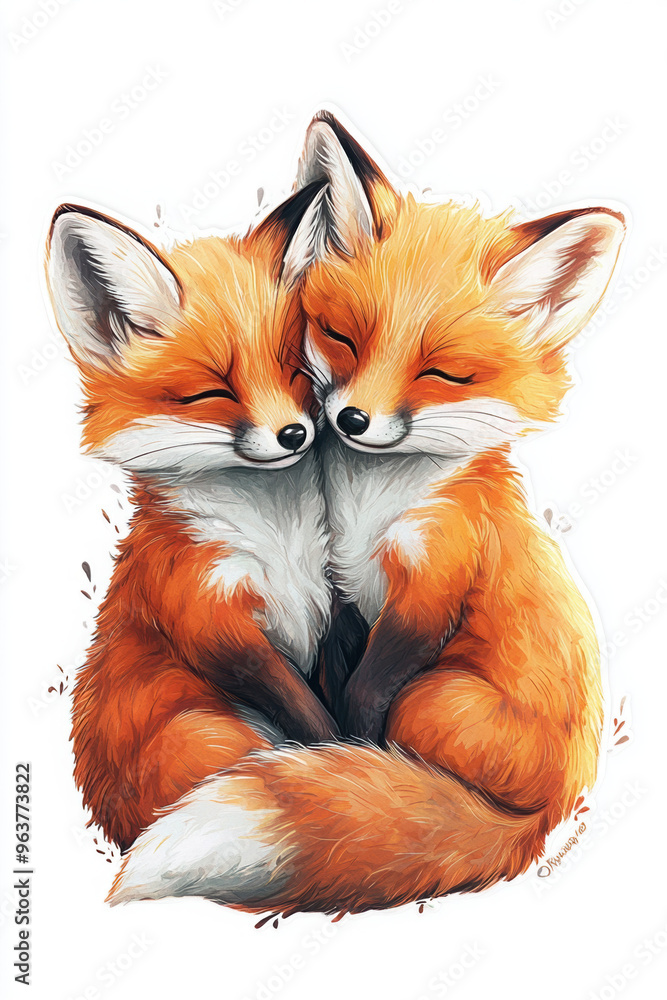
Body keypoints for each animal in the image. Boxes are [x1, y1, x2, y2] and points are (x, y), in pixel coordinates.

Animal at [45, 183, 340, 853]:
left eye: (295, 371)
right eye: (213, 391)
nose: (295, 434)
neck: (275, 541)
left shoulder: (322, 602)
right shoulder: (208, 616)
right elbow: (309, 715)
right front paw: (346, 758)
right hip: (206, 733)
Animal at [106, 113, 625, 918]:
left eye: (442, 372)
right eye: (343, 338)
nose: (348, 421)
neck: (368, 507)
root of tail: (544, 822)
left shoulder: (435, 569)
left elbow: (371, 686)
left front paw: (349, 767)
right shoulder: (336, 591)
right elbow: (333, 682)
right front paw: (336, 761)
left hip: (434, 699)